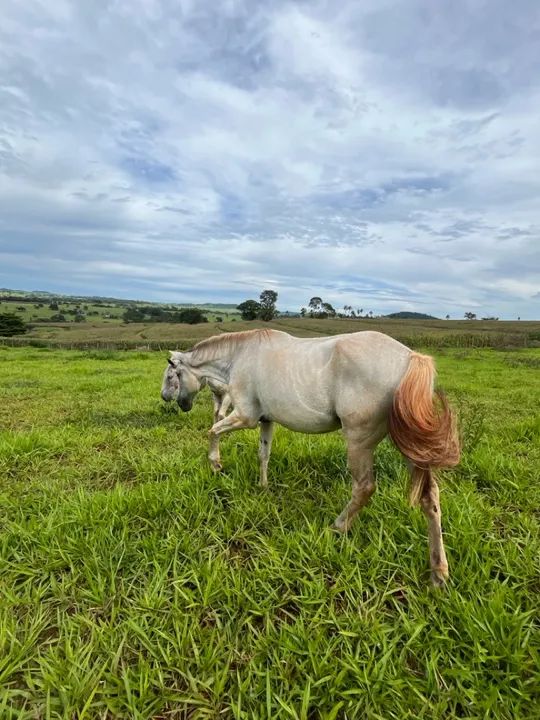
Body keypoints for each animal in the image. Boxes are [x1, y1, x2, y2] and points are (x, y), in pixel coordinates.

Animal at [167, 328, 460, 586]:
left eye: (174, 374)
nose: (181, 404)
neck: (241, 355)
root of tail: (410, 358)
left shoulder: (245, 417)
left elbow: (213, 430)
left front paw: (215, 463)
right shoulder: (266, 420)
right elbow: (264, 454)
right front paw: (263, 486)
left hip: (359, 442)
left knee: (364, 487)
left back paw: (338, 527)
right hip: (411, 447)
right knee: (430, 498)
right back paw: (438, 572)